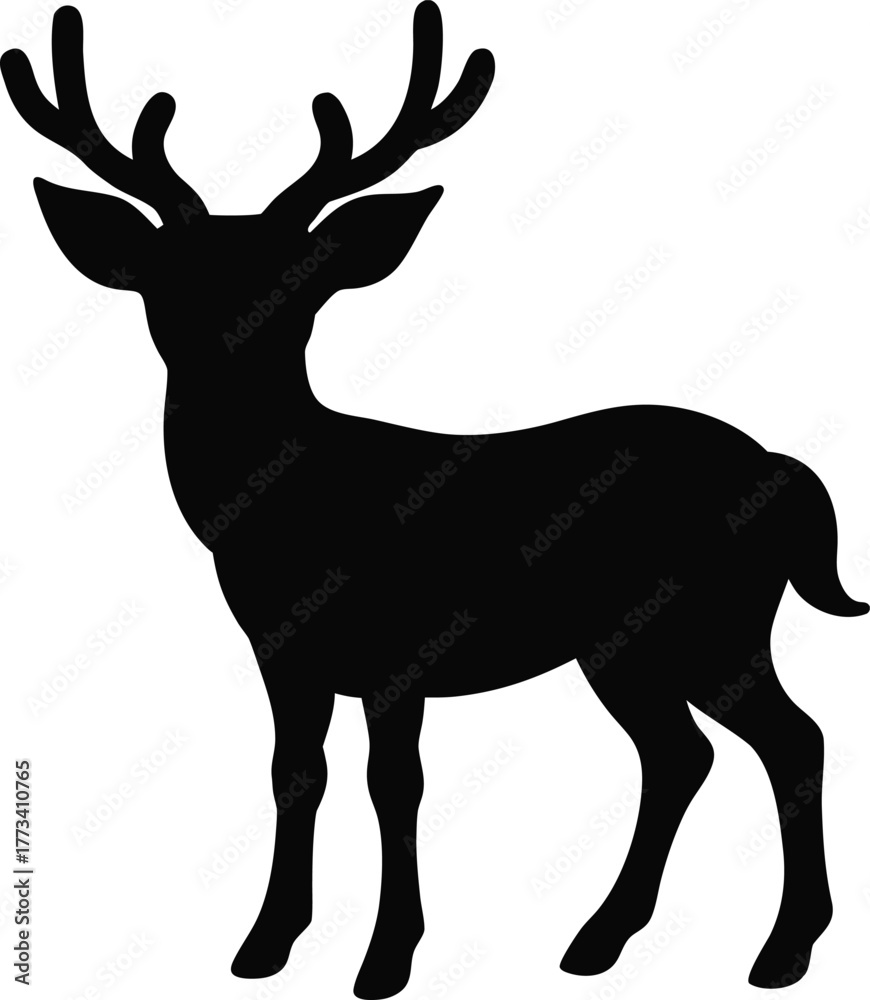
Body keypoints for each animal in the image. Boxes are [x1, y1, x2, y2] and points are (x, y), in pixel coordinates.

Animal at [2, 3, 866, 997]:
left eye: (302, 284)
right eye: (166, 279)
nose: (227, 353)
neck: (290, 519)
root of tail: (788, 471)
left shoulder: (401, 644)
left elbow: (395, 783)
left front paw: (385, 958)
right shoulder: (282, 651)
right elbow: (294, 772)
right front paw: (264, 944)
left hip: (714, 623)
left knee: (793, 739)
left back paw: (783, 949)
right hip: (630, 645)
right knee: (683, 754)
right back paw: (602, 938)